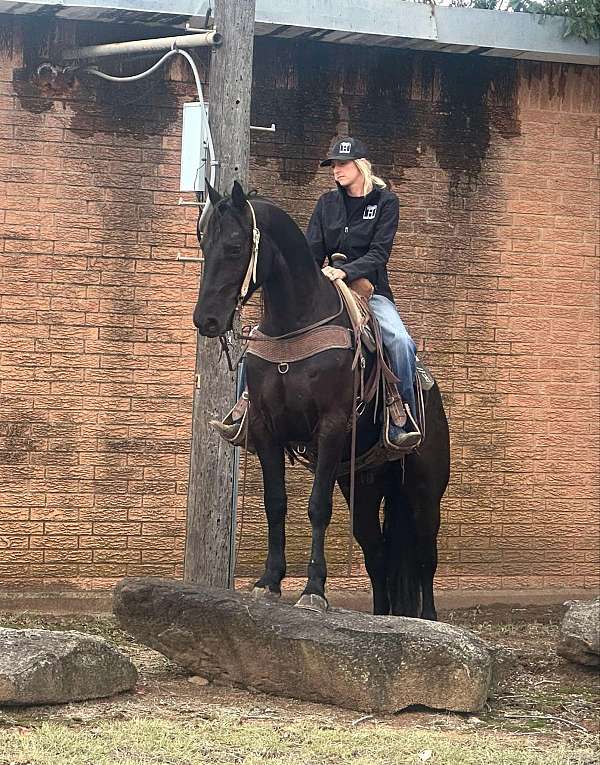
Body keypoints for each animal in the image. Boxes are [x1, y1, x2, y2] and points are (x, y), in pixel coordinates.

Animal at [193, 182, 450, 616]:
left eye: (234, 245)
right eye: (203, 242)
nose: (206, 319)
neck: (295, 325)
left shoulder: (330, 427)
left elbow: (316, 507)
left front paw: (313, 590)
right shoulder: (264, 429)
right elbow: (275, 502)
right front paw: (269, 581)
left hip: (424, 491)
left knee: (424, 557)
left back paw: (428, 619)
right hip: (364, 485)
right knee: (377, 553)